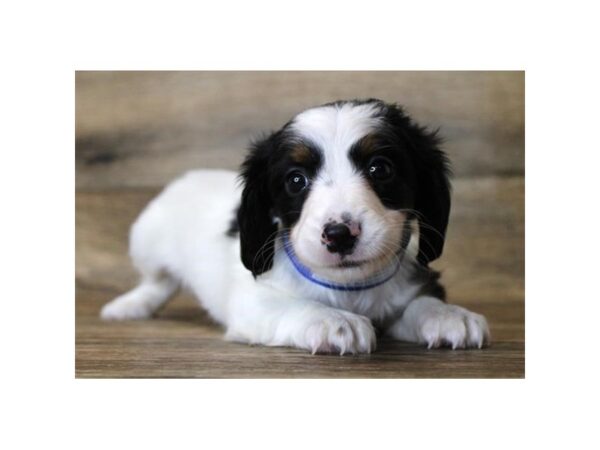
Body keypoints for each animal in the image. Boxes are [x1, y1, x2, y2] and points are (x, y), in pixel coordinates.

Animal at [101, 99, 490, 356]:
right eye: (296, 180)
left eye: (380, 169)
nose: (339, 235)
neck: (349, 287)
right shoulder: (254, 303)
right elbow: (295, 307)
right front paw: (334, 321)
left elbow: (419, 303)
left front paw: (448, 315)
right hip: (146, 240)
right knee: (157, 281)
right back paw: (130, 306)